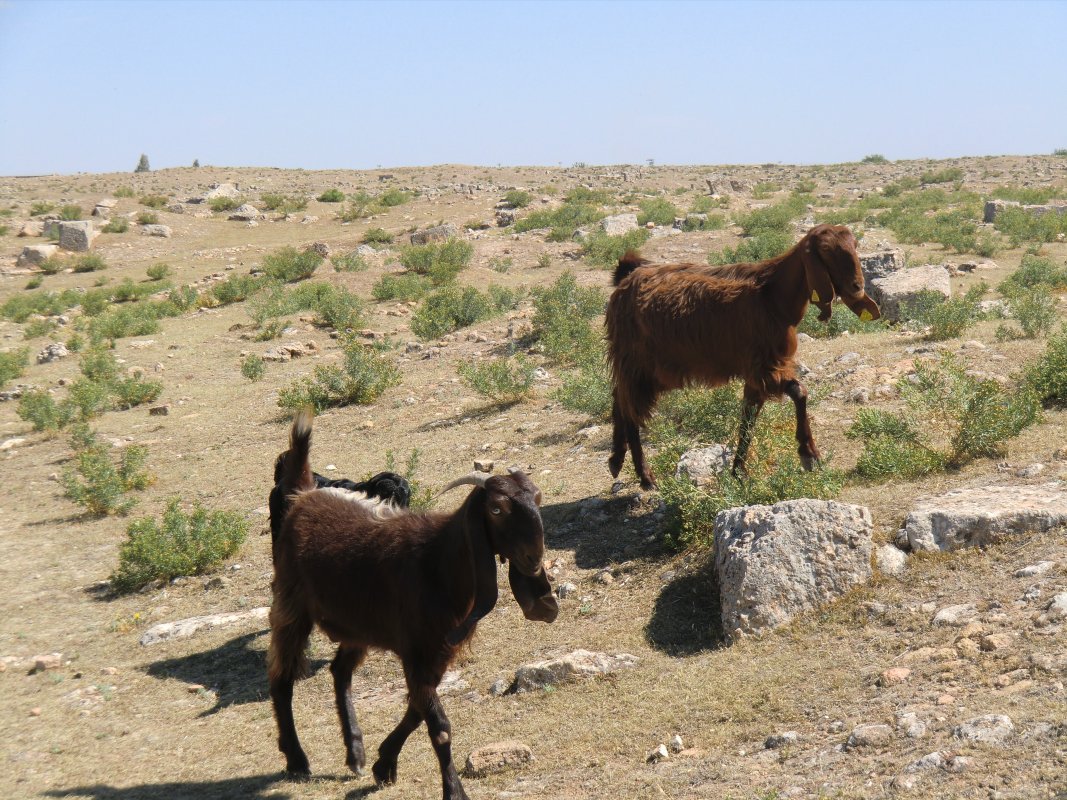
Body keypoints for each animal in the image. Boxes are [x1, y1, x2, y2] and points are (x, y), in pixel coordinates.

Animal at [266, 413, 559, 800]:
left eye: (538, 499)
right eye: (496, 509)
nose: (534, 559)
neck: (437, 562)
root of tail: (304, 494)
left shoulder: (438, 651)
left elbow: (418, 709)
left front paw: (383, 763)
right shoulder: (418, 650)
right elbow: (438, 725)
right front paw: (453, 791)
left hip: (357, 623)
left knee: (339, 671)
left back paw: (355, 752)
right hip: (291, 604)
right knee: (281, 677)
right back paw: (297, 759)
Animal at [606, 222, 879, 492]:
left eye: (855, 245)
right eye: (826, 250)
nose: (857, 286)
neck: (773, 296)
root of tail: (625, 278)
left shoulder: (758, 372)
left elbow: (748, 420)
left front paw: (739, 472)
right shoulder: (763, 367)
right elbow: (798, 392)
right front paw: (809, 455)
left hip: (652, 369)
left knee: (619, 397)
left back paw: (616, 460)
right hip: (636, 362)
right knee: (629, 407)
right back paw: (645, 477)